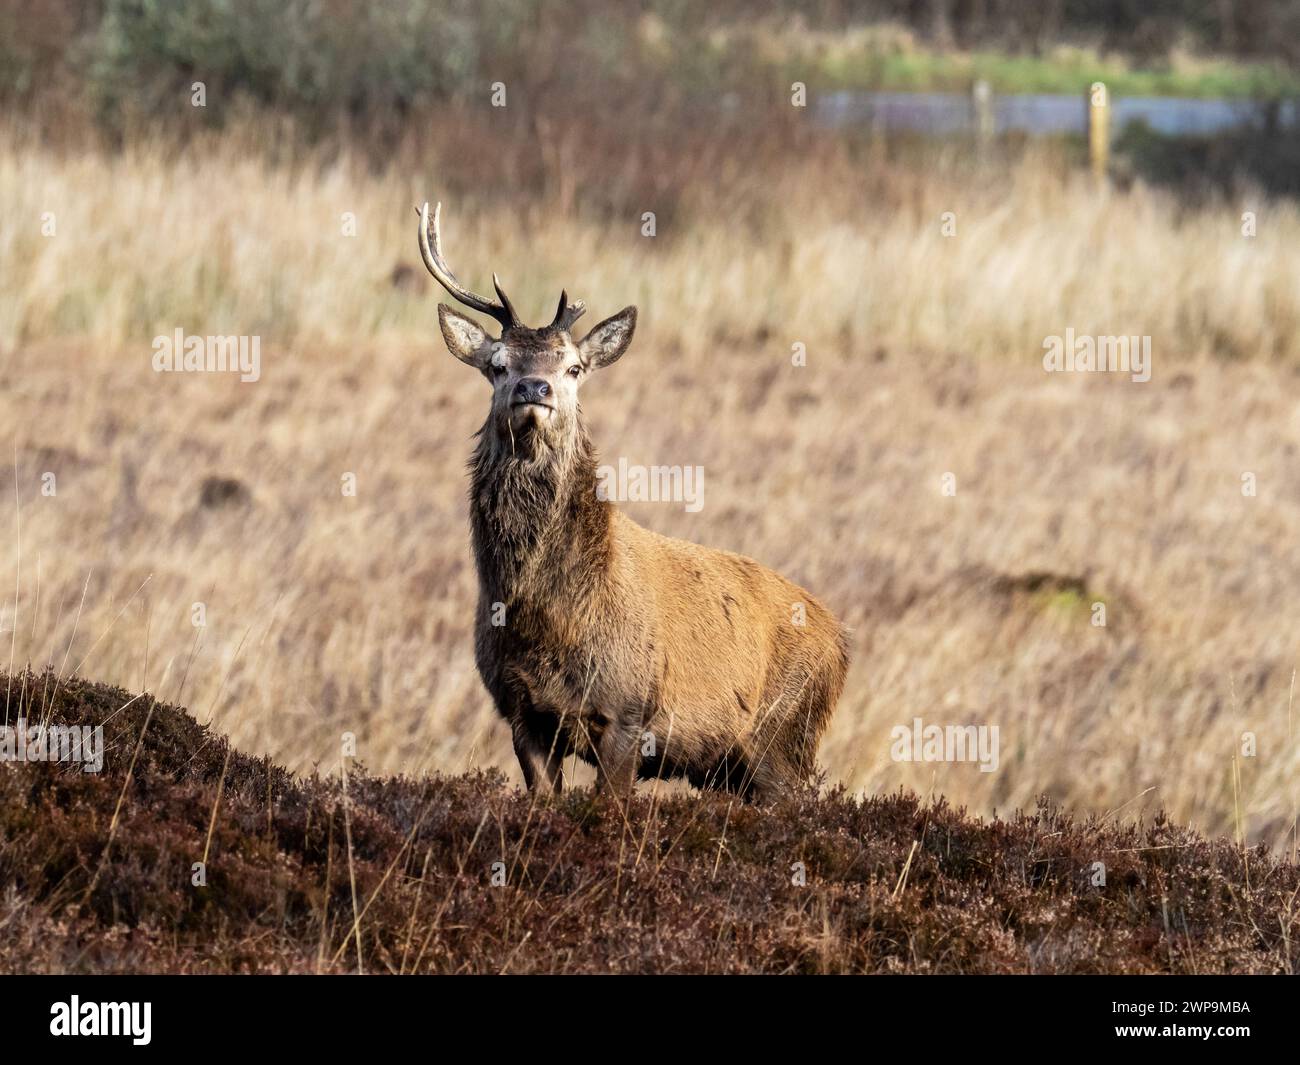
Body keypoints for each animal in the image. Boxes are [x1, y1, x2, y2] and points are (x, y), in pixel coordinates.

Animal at [417, 201, 848, 803]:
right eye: (497, 364)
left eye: (573, 367)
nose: (534, 388)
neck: (548, 622)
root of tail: (843, 640)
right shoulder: (521, 714)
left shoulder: (628, 711)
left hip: (785, 741)